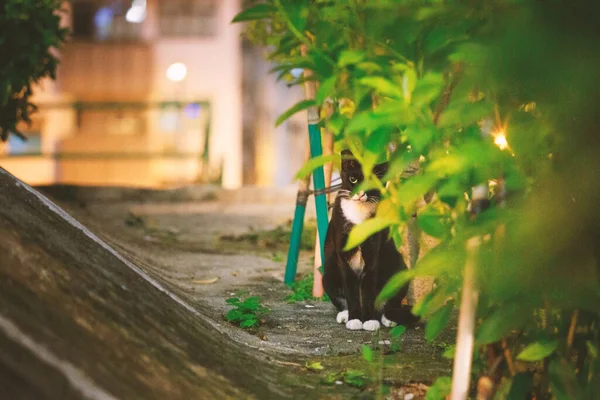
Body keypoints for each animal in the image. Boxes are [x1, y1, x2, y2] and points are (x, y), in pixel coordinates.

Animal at [324, 150, 412, 332]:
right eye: (353, 179)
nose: (360, 194)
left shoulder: (373, 254)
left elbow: (369, 289)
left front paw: (370, 321)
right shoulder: (343, 255)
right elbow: (351, 290)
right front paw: (355, 320)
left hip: (400, 270)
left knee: (391, 303)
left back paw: (387, 319)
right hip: (327, 273)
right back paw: (344, 315)